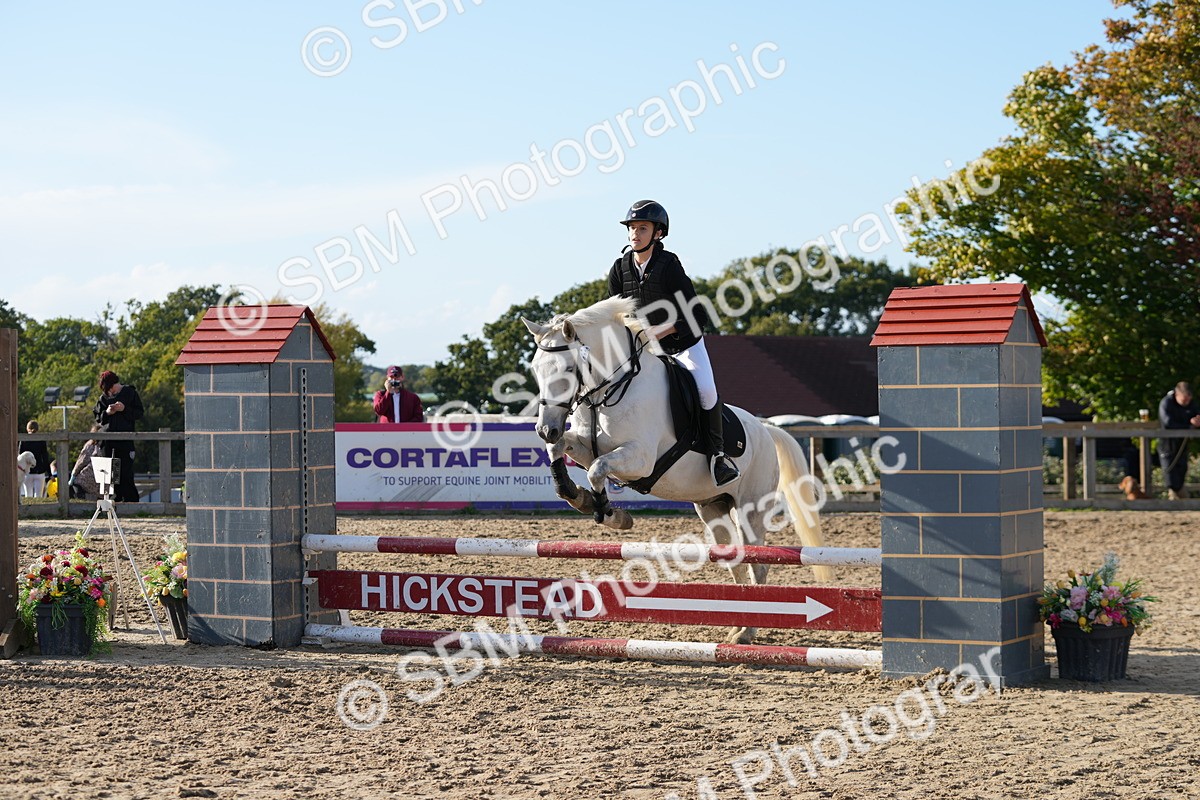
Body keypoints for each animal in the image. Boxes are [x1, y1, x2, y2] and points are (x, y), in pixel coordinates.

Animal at [522, 295, 830, 644]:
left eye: (567, 368)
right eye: (536, 369)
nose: (545, 429)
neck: (610, 392)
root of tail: (765, 429)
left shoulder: (640, 459)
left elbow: (597, 470)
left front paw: (611, 515)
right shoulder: (584, 446)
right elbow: (561, 452)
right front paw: (576, 496)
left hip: (751, 508)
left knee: (758, 564)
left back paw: (748, 631)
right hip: (712, 507)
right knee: (736, 560)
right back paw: (739, 626)